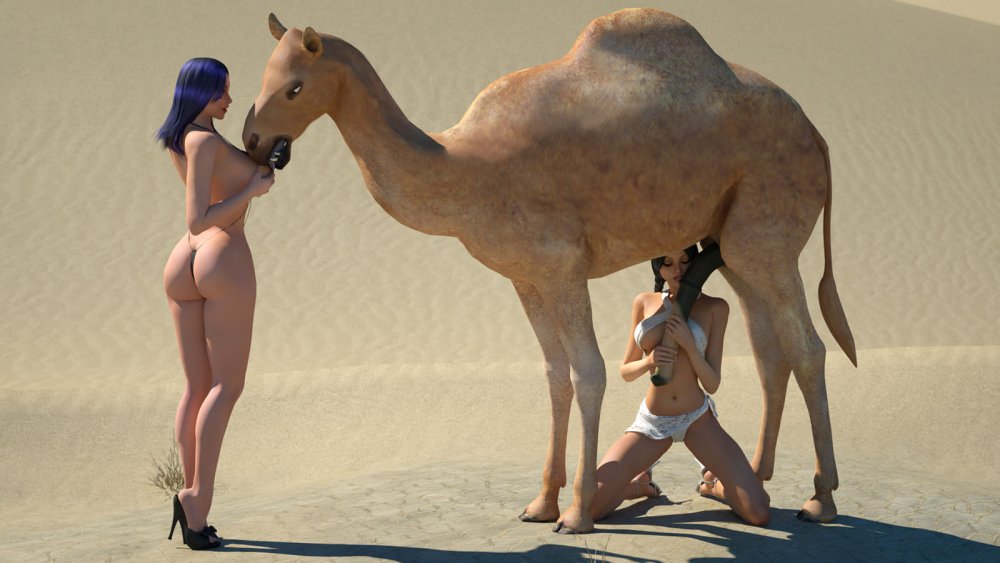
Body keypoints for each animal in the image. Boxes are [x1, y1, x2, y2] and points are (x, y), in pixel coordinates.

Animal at [242, 9, 857, 533]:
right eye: (264, 75)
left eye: (294, 86)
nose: (253, 139)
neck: (464, 167)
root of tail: (815, 132)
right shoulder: (526, 276)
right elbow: (555, 375)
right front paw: (540, 502)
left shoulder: (562, 266)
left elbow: (590, 374)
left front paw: (578, 512)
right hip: (736, 245)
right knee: (769, 349)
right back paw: (737, 480)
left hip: (766, 234)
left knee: (807, 347)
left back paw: (819, 497)